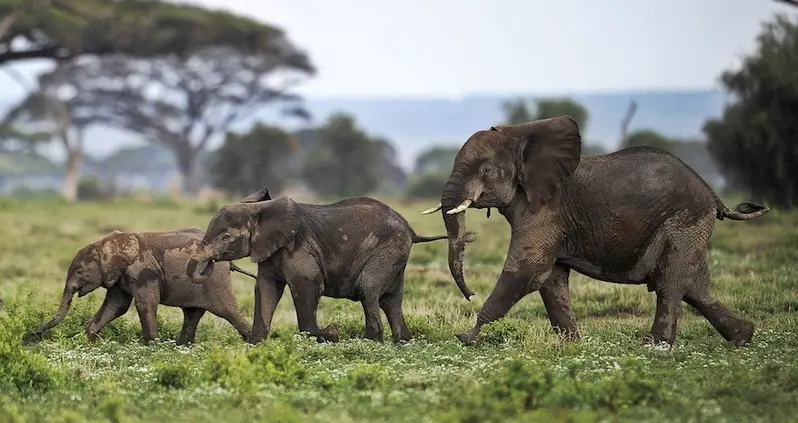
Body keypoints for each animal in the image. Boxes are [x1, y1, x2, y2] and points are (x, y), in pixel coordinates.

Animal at [29, 228, 255, 345]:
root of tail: (228, 261)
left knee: (229, 312)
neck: (107, 243)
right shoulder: (118, 274)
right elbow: (116, 306)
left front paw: (150, 345)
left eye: (78, 272)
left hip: (215, 281)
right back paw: (182, 346)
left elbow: (145, 304)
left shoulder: (142, 271)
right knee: (192, 315)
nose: (34, 334)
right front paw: (89, 340)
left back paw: (254, 344)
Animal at [186, 188, 477, 344]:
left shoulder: (299, 248)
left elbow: (305, 289)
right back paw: (401, 341)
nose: (207, 266)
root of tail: (412, 230)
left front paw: (331, 334)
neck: (262, 210)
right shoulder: (269, 253)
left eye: (225, 237)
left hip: (387, 250)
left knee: (368, 290)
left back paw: (370, 341)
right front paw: (257, 344)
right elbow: (266, 290)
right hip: (396, 256)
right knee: (391, 300)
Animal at [419, 115, 769, 348]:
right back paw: (742, 338)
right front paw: (572, 346)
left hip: (683, 220)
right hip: (690, 225)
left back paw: (655, 349)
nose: (469, 295)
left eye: (486, 170)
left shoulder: (546, 211)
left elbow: (526, 270)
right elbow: (550, 278)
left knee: (671, 283)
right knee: (694, 286)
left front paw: (467, 338)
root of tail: (712, 193)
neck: (521, 136)